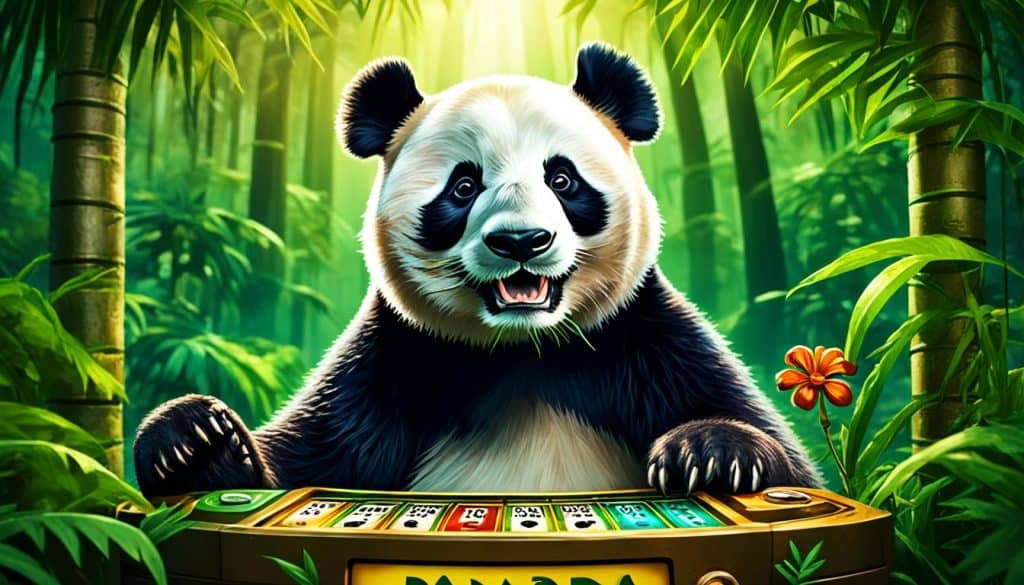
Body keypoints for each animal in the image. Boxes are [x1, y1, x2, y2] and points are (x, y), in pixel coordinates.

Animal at [134, 43, 820, 497]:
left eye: (562, 178)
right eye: (463, 187)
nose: (521, 241)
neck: (523, 355)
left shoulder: (644, 340)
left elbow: (784, 455)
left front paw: (708, 452)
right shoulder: (395, 362)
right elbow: (303, 461)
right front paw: (192, 440)